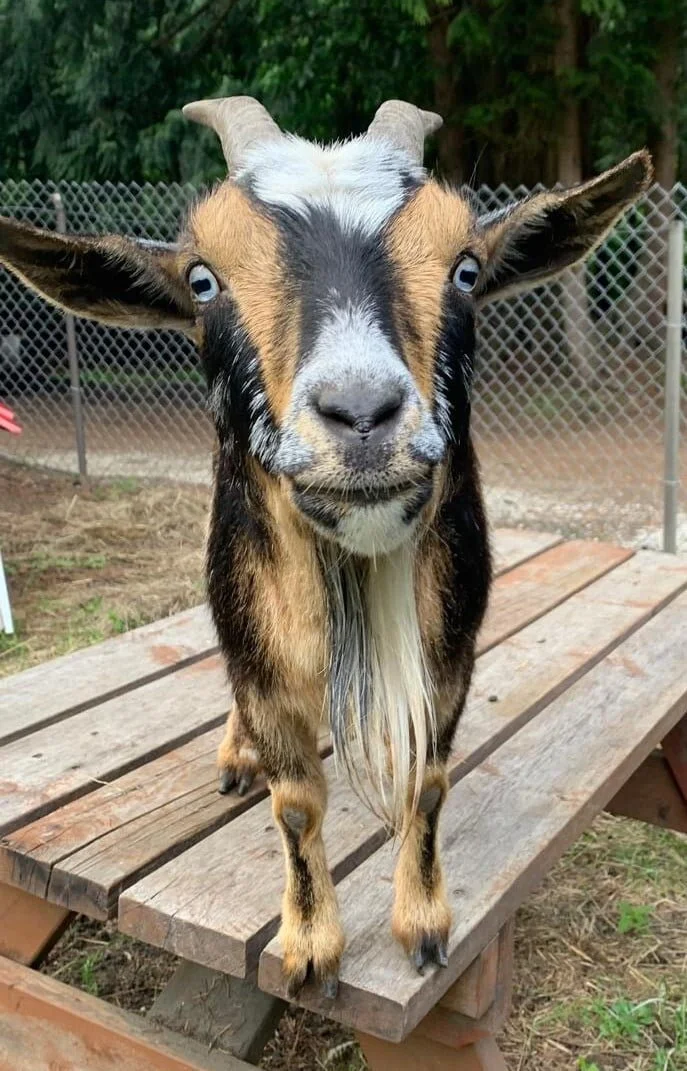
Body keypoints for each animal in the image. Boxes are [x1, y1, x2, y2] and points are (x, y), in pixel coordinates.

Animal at [0, 97, 651, 997]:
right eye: (202, 279)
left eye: (467, 270)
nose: (362, 413)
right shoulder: (261, 655)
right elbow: (296, 803)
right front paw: (309, 947)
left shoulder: (449, 653)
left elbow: (428, 781)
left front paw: (423, 925)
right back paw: (235, 755)